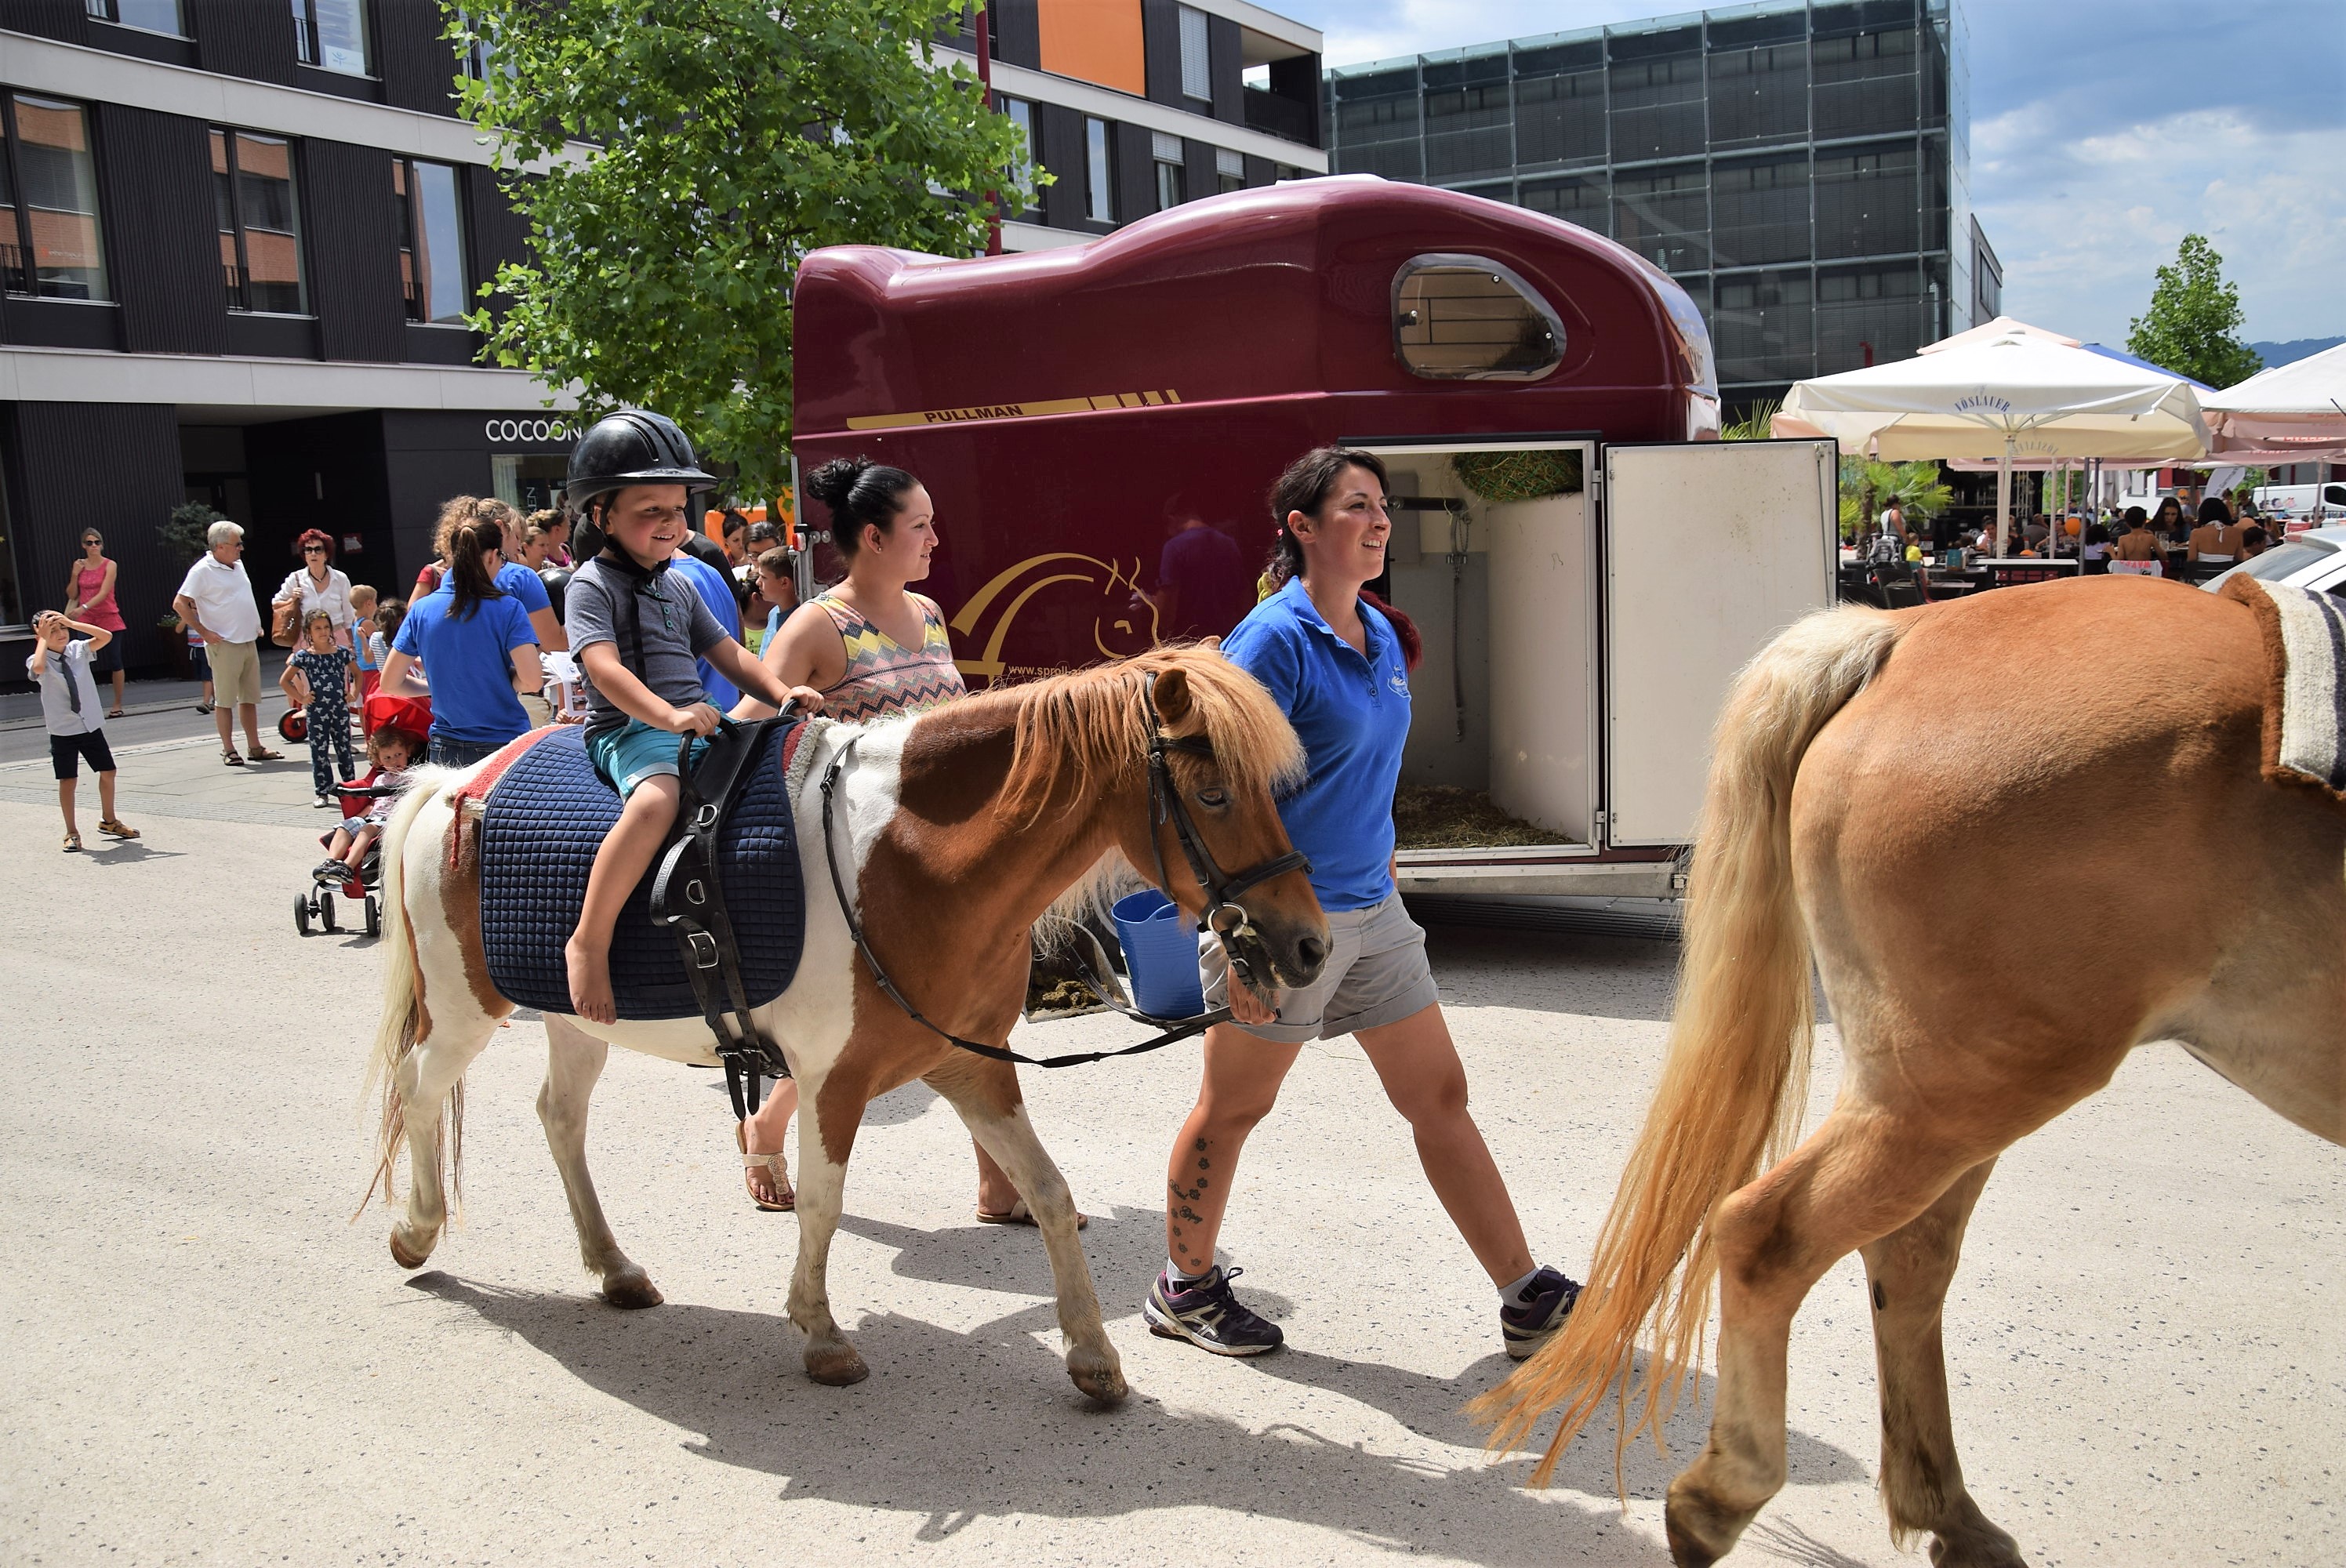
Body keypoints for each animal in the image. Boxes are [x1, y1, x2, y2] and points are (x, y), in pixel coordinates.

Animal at [359, 645, 1329, 1402]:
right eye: (1212, 793)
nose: (1310, 943)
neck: (902, 861)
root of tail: (452, 784)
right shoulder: (834, 1078)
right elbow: (823, 1202)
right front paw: (820, 1333)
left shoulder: (969, 1066)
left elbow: (1051, 1192)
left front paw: (1092, 1354)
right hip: (464, 1011)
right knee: (417, 1086)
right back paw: (415, 1229)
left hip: (577, 1019)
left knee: (559, 1117)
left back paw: (615, 1265)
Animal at [1474, 576, 2345, 1566]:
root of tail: (1897, 633)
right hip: (1972, 1078)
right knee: (1777, 1231)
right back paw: (1727, 1494)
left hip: (1946, 1082)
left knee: (1904, 1253)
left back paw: (1945, 1512)